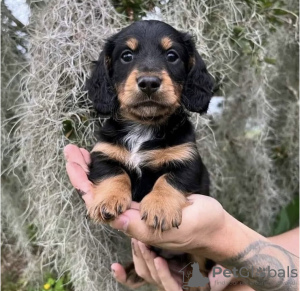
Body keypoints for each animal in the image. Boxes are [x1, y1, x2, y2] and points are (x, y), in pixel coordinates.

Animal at [85, 20, 214, 290]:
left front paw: (161, 207)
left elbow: (169, 180)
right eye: (126, 55)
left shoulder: (188, 161)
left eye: (172, 55)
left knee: (199, 262)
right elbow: (114, 173)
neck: (144, 127)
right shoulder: (103, 153)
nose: (148, 82)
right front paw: (108, 200)